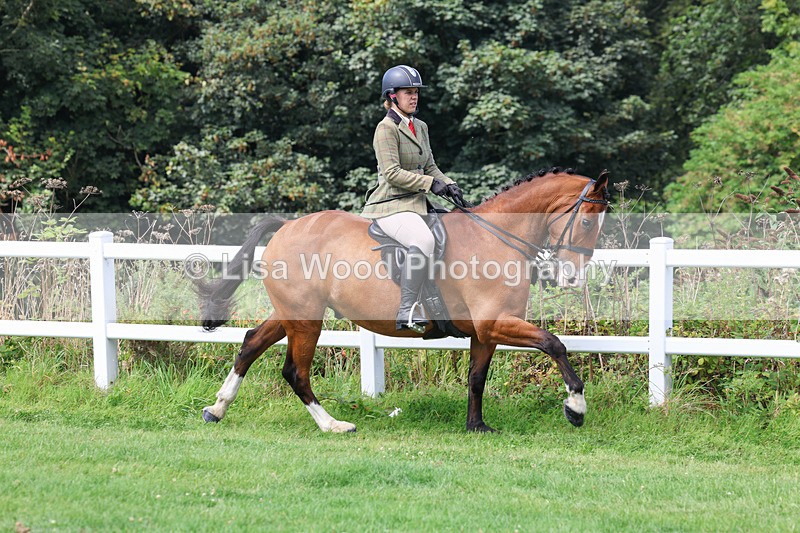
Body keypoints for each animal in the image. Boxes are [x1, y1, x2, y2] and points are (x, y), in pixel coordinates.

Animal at [198, 169, 610, 432]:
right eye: (588, 222)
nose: (572, 277)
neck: (495, 236)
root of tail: (287, 226)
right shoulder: (496, 322)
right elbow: (554, 344)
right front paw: (576, 407)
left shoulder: (485, 331)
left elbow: (477, 377)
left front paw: (476, 425)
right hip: (305, 318)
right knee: (296, 372)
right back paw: (334, 425)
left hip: (293, 312)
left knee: (251, 343)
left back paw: (217, 408)